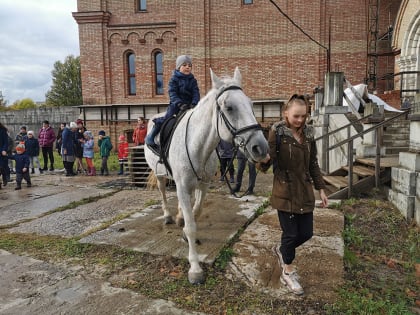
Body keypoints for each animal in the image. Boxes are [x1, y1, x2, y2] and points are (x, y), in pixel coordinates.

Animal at [144, 68, 270, 286]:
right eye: (229, 107)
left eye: (251, 104)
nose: (260, 148)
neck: (197, 145)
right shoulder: (183, 185)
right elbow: (191, 226)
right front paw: (195, 269)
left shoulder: (203, 185)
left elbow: (196, 212)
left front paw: (185, 229)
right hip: (161, 175)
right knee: (162, 191)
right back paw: (168, 216)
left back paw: (178, 216)